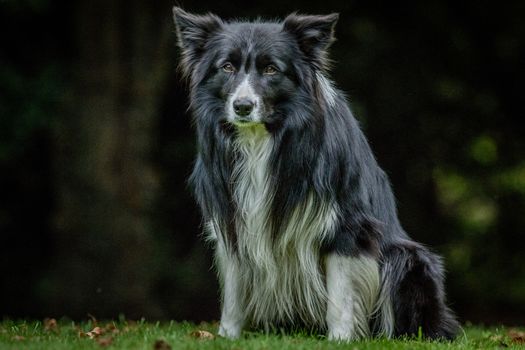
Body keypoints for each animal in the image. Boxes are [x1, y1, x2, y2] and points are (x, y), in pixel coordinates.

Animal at [173, 6, 458, 340]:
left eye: (271, 69)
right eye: (227, 67)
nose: (242, 106)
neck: (261, 138)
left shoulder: (347, 223)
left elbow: (341, 291)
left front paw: (341, 339)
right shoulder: (231, 218)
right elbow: (233, 288)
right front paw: (227, 336)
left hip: (409, 258)